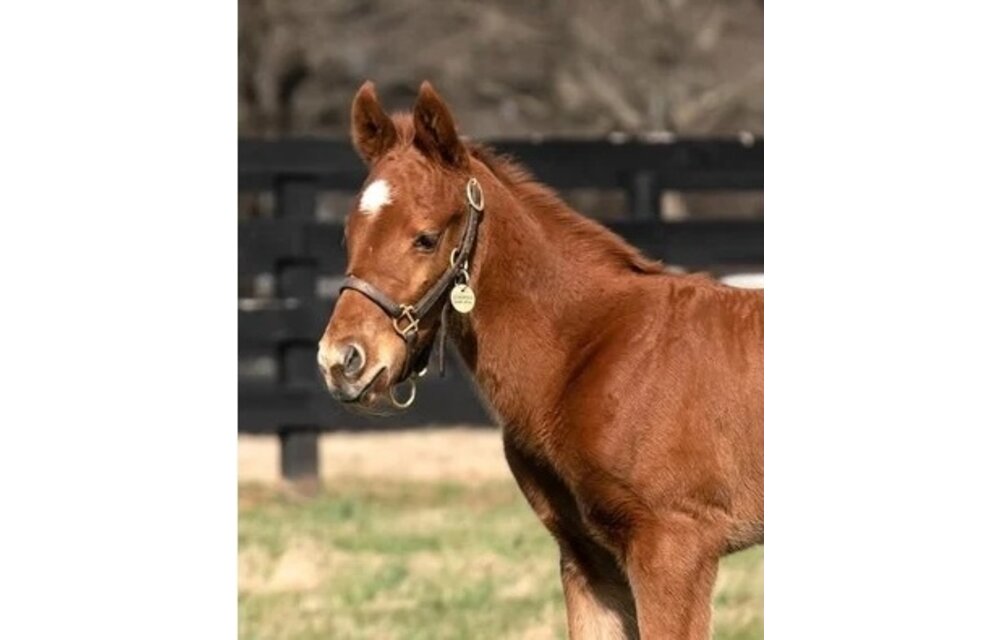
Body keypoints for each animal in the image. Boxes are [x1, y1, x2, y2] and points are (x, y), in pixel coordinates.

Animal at [317, 80, 764, 639]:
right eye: (348, 234)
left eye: (426, 237)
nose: (342, 361)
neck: (592, 349)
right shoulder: (587, 558)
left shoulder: (674, 547)